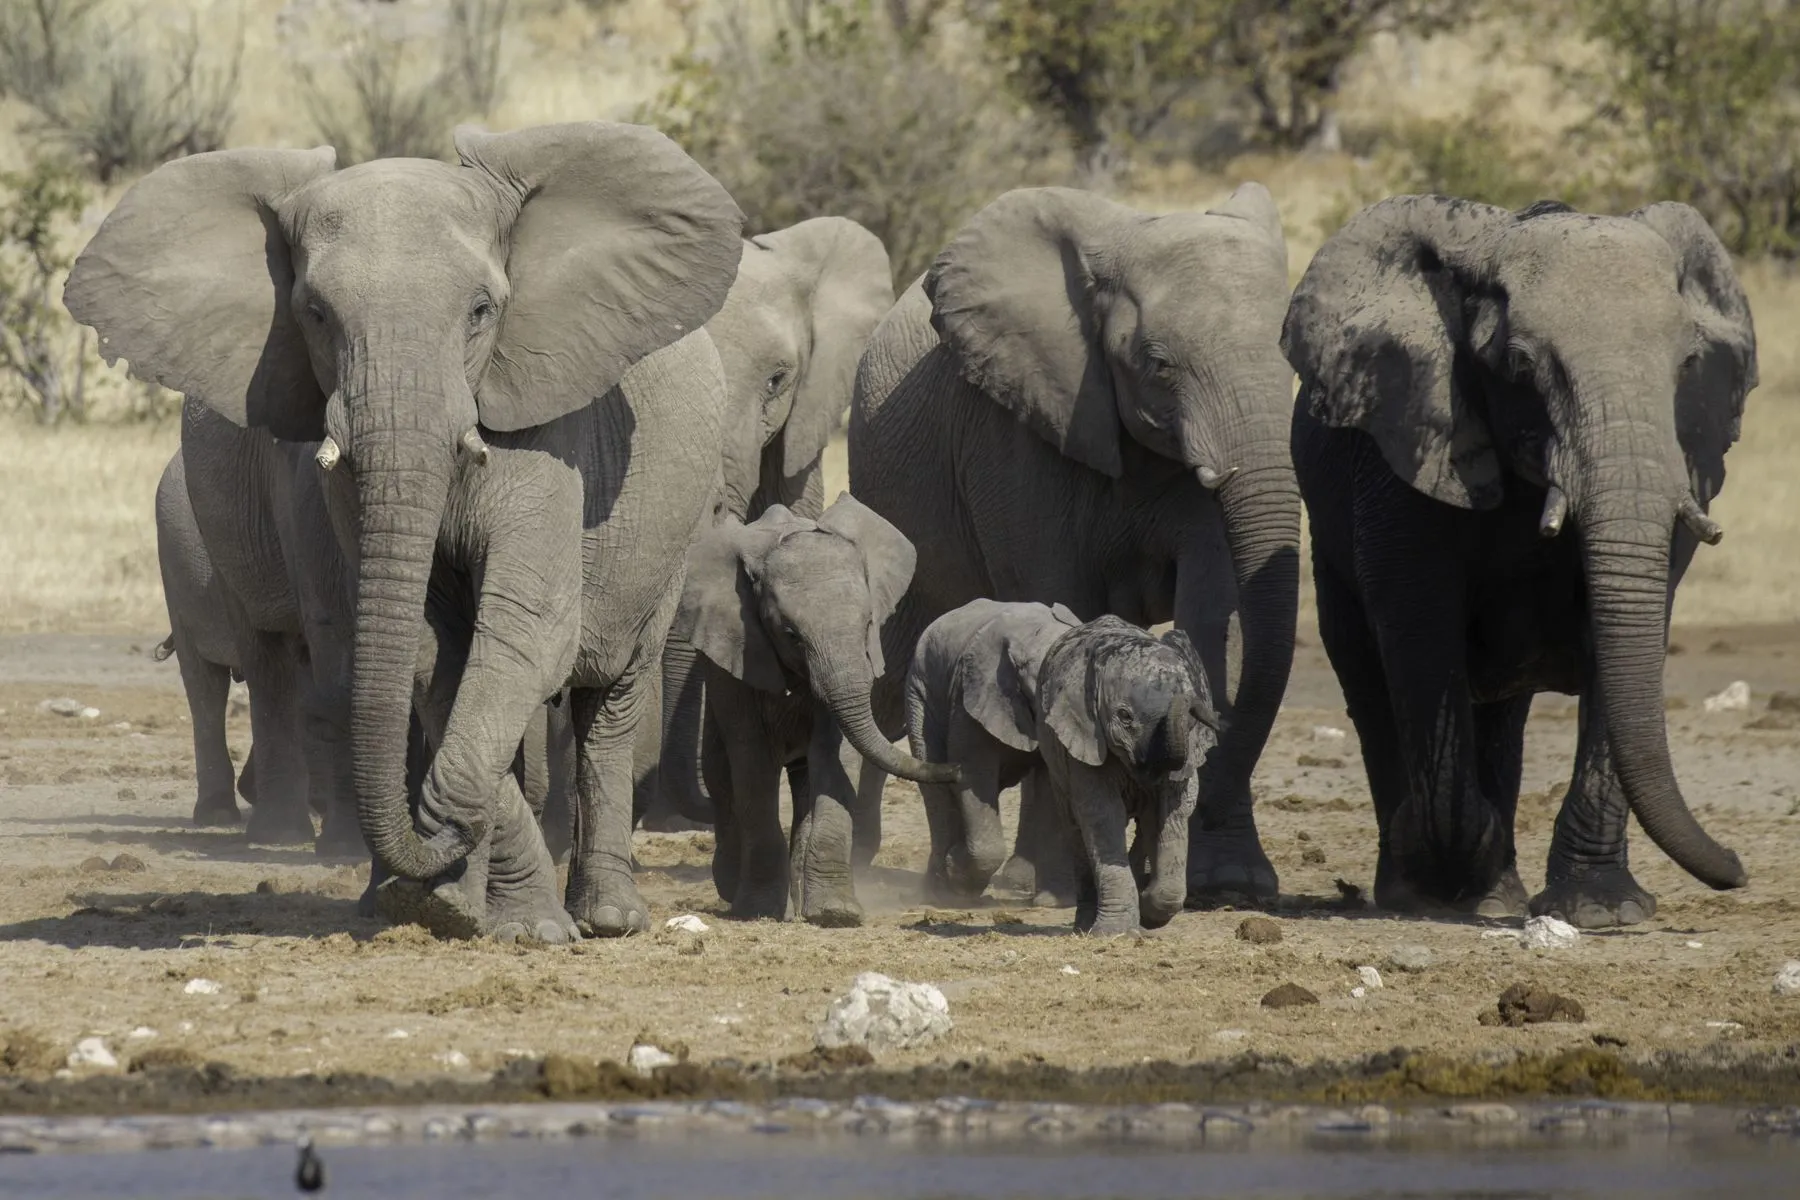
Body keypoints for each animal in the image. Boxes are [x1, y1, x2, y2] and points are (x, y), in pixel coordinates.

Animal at [67, 121, 745, 942]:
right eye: (314, 312)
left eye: (483, 310)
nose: (431, 850)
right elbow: (435, 658)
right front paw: (453, 905)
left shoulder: (558, 433)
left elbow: (525, 635)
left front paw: (497, 913)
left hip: (672, 533)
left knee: (610, 699)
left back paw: (609, 918)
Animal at [667, 495, 959, 925]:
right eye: (790, 634)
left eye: (869, 623)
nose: (957, 769)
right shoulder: (740, 658)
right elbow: (752, 763)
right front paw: (758, 910)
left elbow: (834, 754)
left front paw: (836, 914)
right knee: (724, 776)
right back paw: (734, 887)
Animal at [903, 598, 1082, 902]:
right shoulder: (969, 700)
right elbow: (973, 774)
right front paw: (959, 875)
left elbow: (1050, 786)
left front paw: (1050, 902)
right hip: (921, 698)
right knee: (936, 789)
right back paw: (939, 891)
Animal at [1034, 616, 1216, 933]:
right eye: (1124, 717)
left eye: (1194, 718)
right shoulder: (1085, 740)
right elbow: (1103, 815)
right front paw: (1115, 933)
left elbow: (1173, 812)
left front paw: (1149, 912)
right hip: (1056, 766)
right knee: (1075, 830)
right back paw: (1085, 926)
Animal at [1283, 194, 1755, 926]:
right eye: (1522, 368)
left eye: (1686, 366)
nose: (1737, 868)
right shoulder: (1407, 451)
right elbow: (1420, 632)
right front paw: (1455, 873)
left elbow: (1625, 636)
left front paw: (1603, 912)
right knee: (1370, 677)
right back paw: (1427, 887)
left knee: (1499, 712)